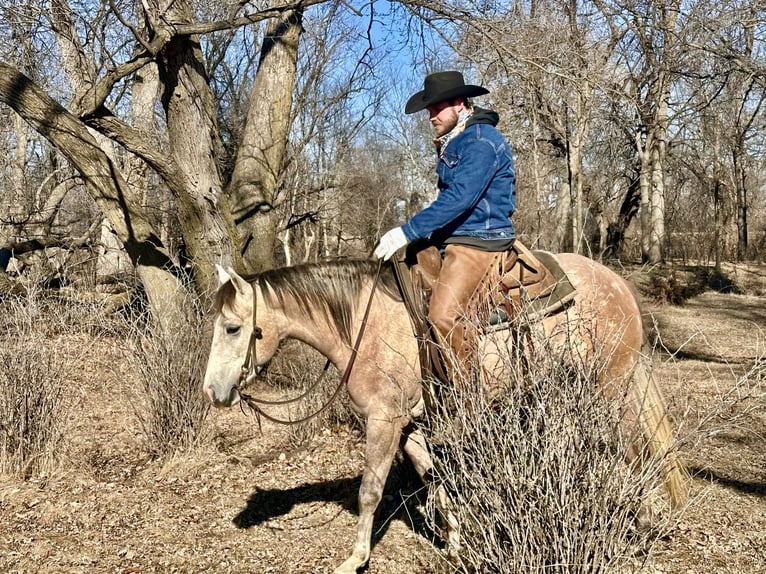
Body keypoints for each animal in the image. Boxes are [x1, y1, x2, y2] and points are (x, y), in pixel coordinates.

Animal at [204, 256, 688, 574]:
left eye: (232, 327)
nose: (212, 391)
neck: (364, 322)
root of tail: (620, 284)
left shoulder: (383, 421)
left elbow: (369, 492)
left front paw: (355, 559)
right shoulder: (413, 426)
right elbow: (436, 483)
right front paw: (456, 546)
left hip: (610, 391)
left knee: (636, 456)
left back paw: (641, 530)